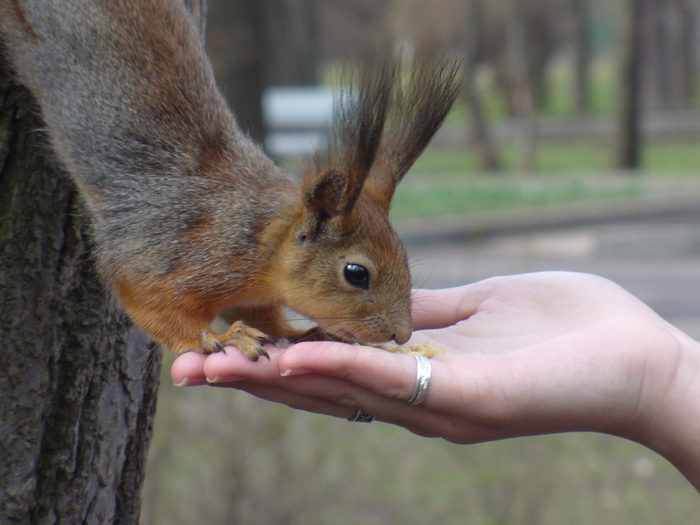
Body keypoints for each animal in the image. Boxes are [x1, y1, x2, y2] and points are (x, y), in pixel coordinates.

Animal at [0, 0, 462, 360]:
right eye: (356, 273)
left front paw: (297, 333)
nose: (402, 333)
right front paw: (217, 338)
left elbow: (262, 316)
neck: (260, 244)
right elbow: (148, 302)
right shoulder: (171, 256)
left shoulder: (253, 295)